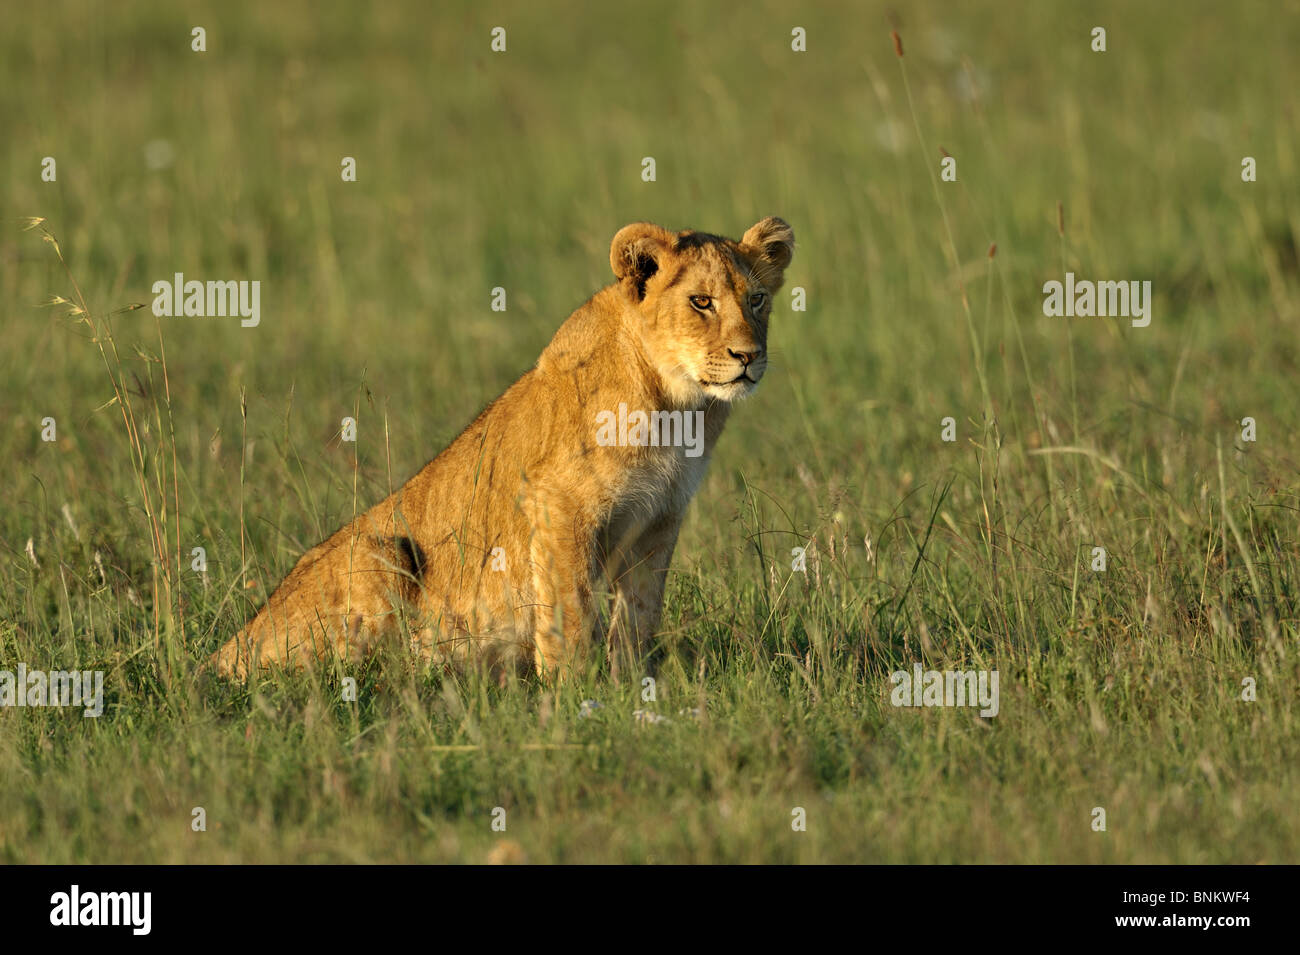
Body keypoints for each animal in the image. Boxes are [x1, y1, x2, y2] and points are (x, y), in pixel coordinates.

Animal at [211, 217, 795, 680]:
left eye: (757, 300)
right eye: (701, 302)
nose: (749, 356)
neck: (681, 407)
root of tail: (226, 649)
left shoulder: (659, 520)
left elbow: (639, 615)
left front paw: (636, 690)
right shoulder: (558, 504)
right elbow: (569, 613)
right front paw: (576, 701)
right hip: (380, 552)